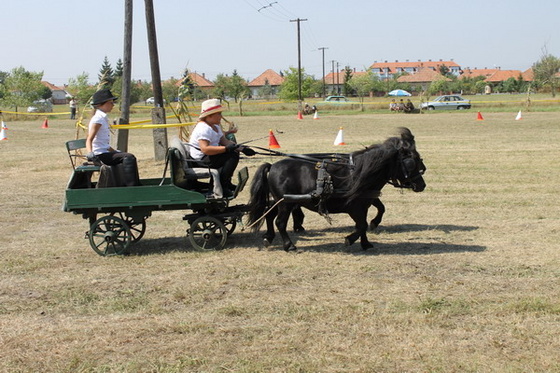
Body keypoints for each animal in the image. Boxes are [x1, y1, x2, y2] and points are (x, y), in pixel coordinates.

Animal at [247, 126, 426, 251]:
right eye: (413, 161)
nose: (422, 185)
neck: (360, 172)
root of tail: (272, 166)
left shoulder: (365, 204)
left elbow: (369, 219)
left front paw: (366, 242)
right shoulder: (354, 208)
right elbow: (361, 225)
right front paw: (349, 239)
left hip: (281, 201)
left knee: (269, 214)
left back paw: (268, 237)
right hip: (286, 203)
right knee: (280, 222)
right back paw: (289, 245)